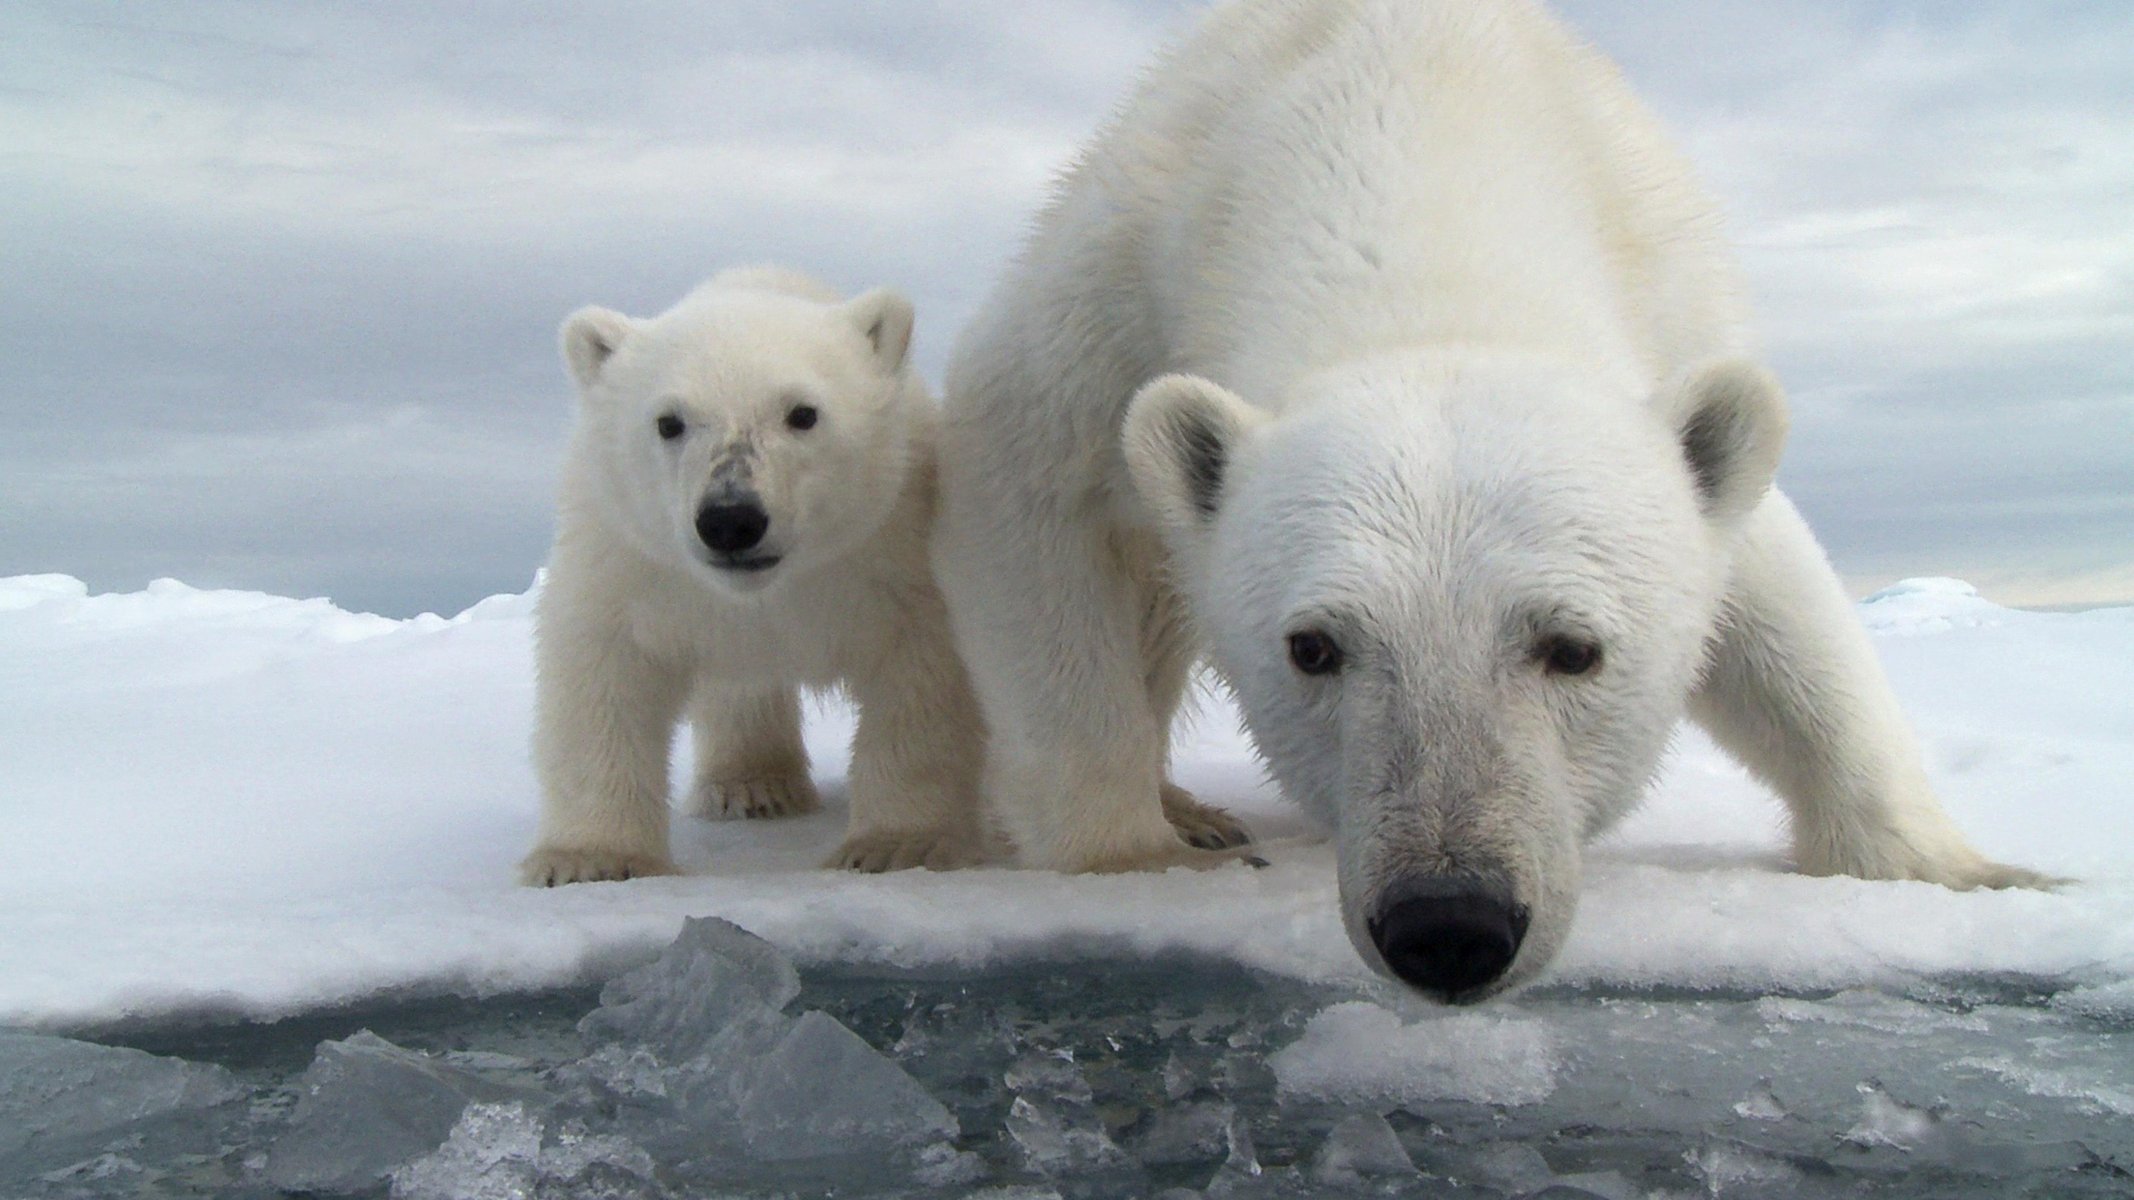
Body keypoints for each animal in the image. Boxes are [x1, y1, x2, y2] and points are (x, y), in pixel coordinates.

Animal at [938, 0, 2048, 995]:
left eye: (1574, 646)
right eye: (1313, 647)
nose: (1448, 924)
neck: (1420, 113)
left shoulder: (1669, 311)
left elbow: (1778, 602)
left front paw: (1968, 873)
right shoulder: (1121, 280)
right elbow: (1027, 490)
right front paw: (1134, 856)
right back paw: (1192, 813)